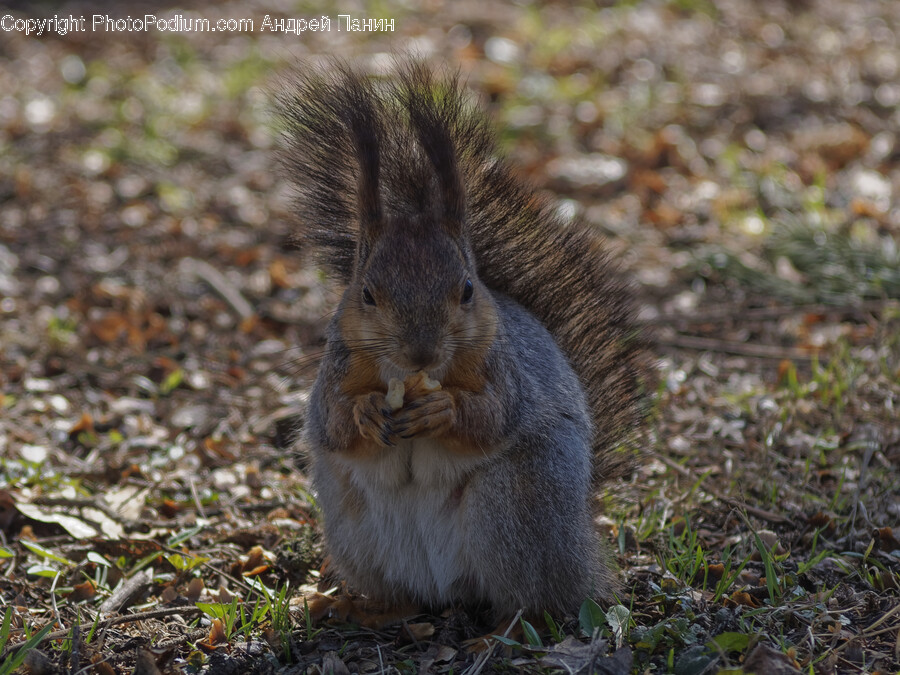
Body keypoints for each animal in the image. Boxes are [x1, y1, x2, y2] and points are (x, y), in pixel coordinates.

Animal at [277, 60, 645, 621]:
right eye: (366, 293)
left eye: (468, 289)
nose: (421, 352)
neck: (407, 376)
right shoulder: (334, 371)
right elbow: (330, 423)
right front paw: (365, 412)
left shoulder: (504, 373)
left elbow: (493, 417)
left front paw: (442, 410)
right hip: (351, 525)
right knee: (401, 592)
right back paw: (361, 607)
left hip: (516, 507)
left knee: (532, 596)